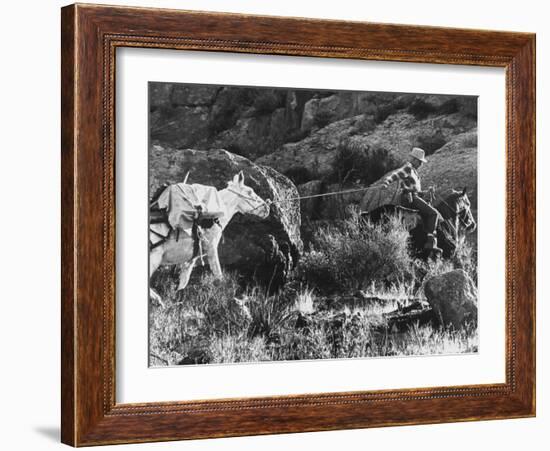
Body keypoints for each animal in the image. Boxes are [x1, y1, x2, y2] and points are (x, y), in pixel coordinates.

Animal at [149, 173, 272, 308]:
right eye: (249, 191)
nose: (267, 208)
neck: (216, 215)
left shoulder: (192, 258)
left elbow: (183, 282)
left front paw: (177, 302)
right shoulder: (211, 248)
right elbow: (218, 275)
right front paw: (229, 299)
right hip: (154, 258)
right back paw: (158, 300)